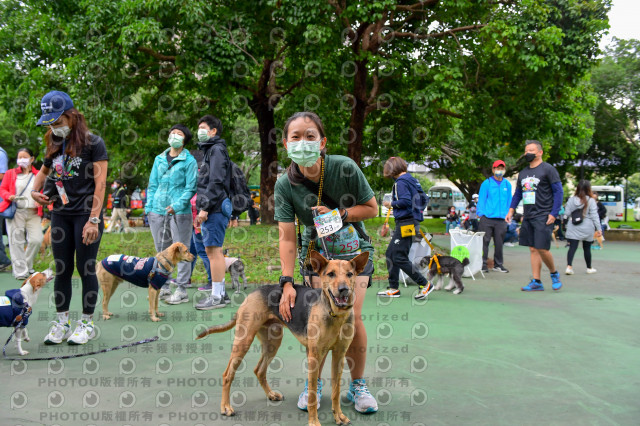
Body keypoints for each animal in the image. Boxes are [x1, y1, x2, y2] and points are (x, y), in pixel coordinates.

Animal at [195, 250, 368, 426]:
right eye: (331, 274)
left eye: (349, 274)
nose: (343, 289)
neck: (334, 313)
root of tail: (251, 294)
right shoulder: (314, 356)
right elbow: (312, 395)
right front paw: (313, 421)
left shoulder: (339, 355)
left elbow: (336, 391)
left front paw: (338, 416)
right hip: (244, 341)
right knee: (227, 374)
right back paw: (226, 407)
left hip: (272, 343)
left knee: (259, 370)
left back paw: (271, 394)